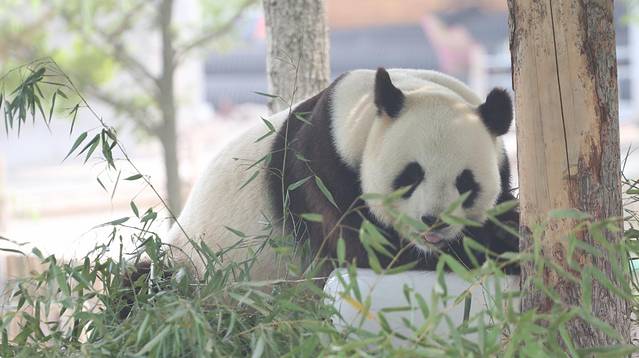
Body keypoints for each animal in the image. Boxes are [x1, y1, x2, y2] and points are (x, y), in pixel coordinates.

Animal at [166, 66, 520, 280]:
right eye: (411, 175)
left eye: (466, 182)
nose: (434, 221)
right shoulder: (322, 174)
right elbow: (373, 252)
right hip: (195, 261)